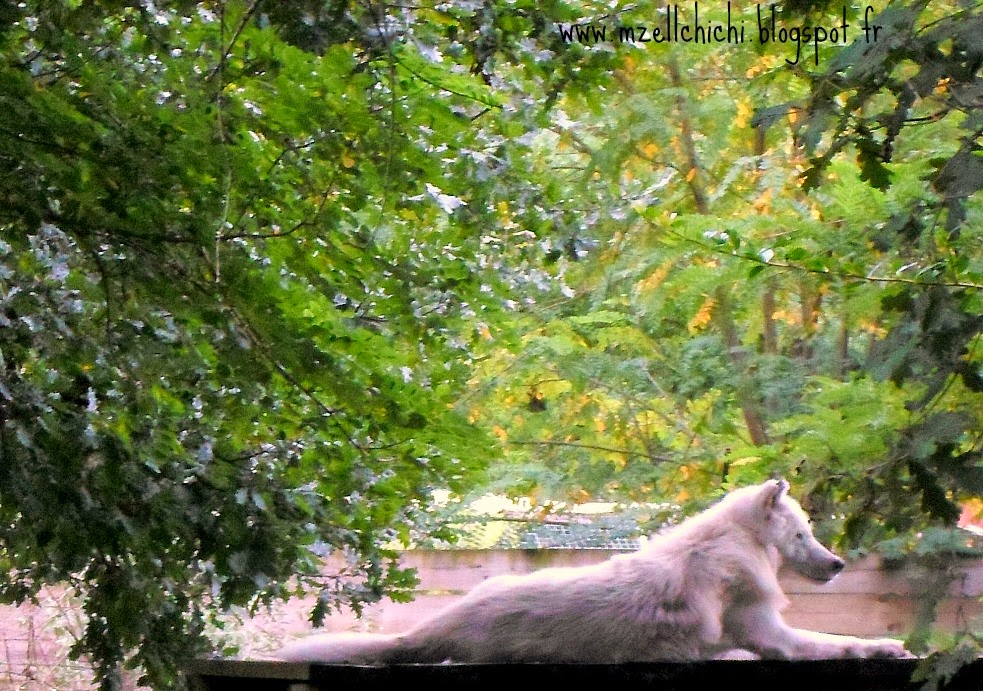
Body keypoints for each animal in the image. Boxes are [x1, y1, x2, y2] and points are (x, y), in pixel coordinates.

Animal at [276, 482, 916, 664]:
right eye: (804, 534)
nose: (838, 564)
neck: (730, 545)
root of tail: (439, 626)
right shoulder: (769, 635)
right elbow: (835, 641)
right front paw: (886, 646)